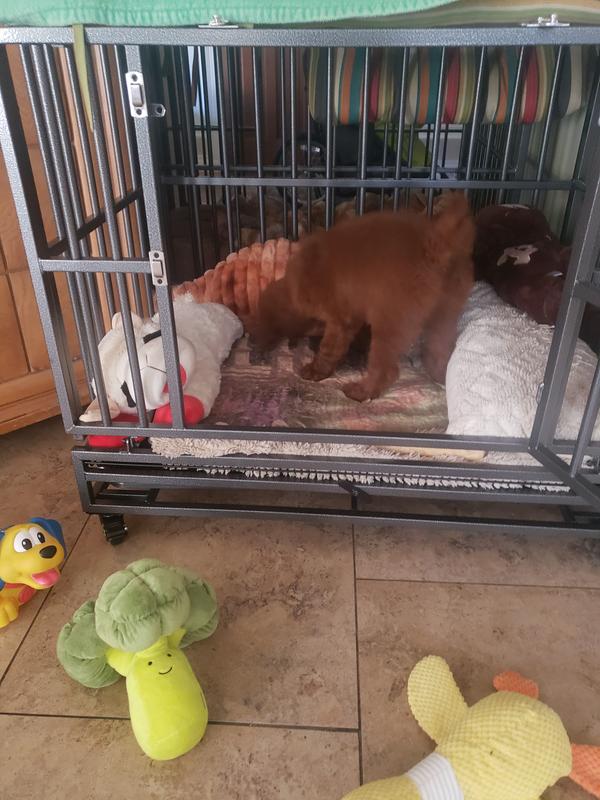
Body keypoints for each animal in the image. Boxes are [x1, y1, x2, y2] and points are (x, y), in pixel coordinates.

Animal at [253, 193, 475, 400]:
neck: (294, 284)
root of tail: (435, 241)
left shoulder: (341, 318)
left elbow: (329, 349)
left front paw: (316, 370)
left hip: (391, 321)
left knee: (387, 369)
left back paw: (361, 391)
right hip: (445, 313)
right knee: (440, 351)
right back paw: (439, 377)